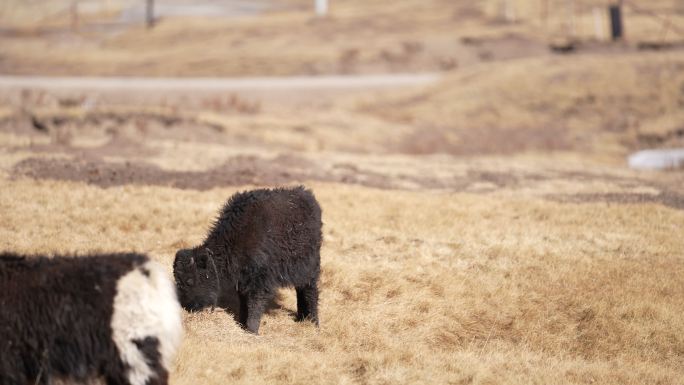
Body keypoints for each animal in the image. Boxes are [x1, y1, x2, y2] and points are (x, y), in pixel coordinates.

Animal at [171, 186, 320, 332]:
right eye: (178, 281)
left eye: (190, 281)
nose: (187, 308)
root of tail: (307, 195)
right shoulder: (242, 280)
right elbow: (244, 302)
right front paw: (241, 323)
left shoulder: (260, 281)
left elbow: (255, 304)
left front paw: (251, 330)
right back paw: (301, 319)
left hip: (309, 269)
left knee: (310, 292)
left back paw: (313, 322)